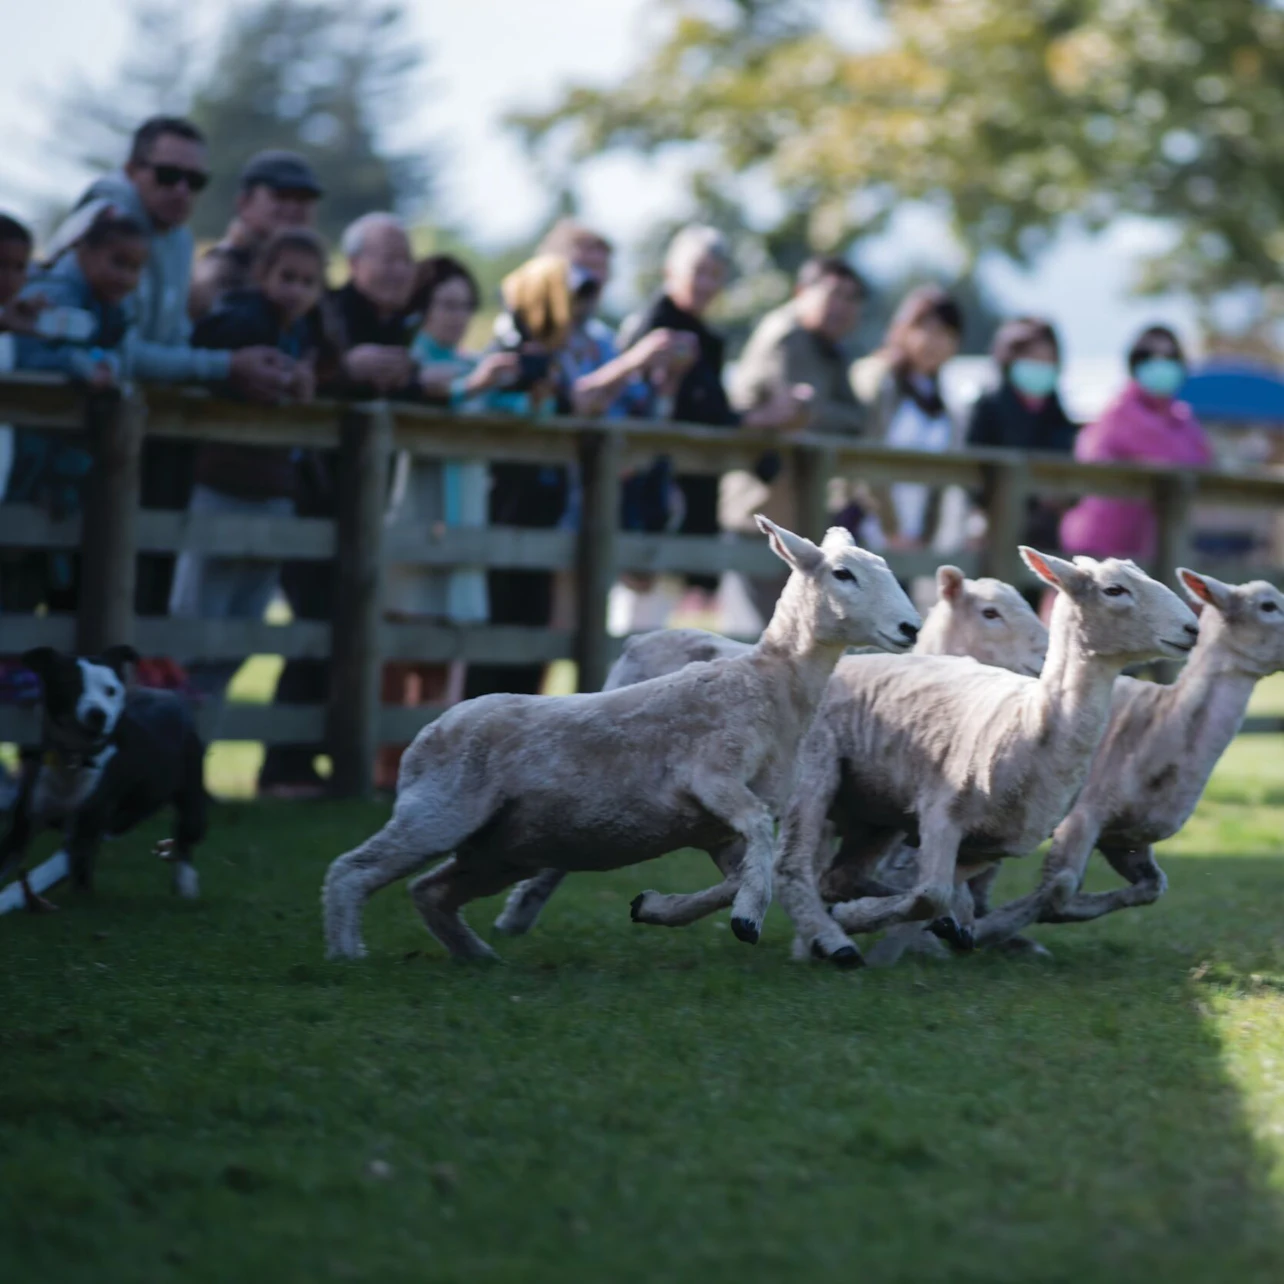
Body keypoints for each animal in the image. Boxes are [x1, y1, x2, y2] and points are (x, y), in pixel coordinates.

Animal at [320, 517, 920, 961]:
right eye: (843, 574)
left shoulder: (715, 830)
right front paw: (748, 917)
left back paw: (477, 956)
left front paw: (664, 909)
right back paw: (347, 954)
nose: (911, 628)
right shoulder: (711, 776)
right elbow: (758, 835)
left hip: (500, 850)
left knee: (430, 892)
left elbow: (747, 868)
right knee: (352, 870)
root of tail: (423, 737)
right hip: (440, 811)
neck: (766, 683)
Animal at [774, 549, 1200, 967]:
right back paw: (832, 940)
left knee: (838, 877)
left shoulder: (993, 846)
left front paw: (947, 926)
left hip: (877, 811)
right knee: (793, 865)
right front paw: (859, 918)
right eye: (1115, 590)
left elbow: (945, 893)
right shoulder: (941, 812)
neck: (1031, 724)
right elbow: (931, 893)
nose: (1192, 628)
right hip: (816, 770)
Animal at [972, 570, 1284, 948]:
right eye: (1268, 606)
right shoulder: (1083, 816)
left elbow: (1151, 887)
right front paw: (988, 928)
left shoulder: (1126, 838)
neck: (1167, 725)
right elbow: (1061, 887)